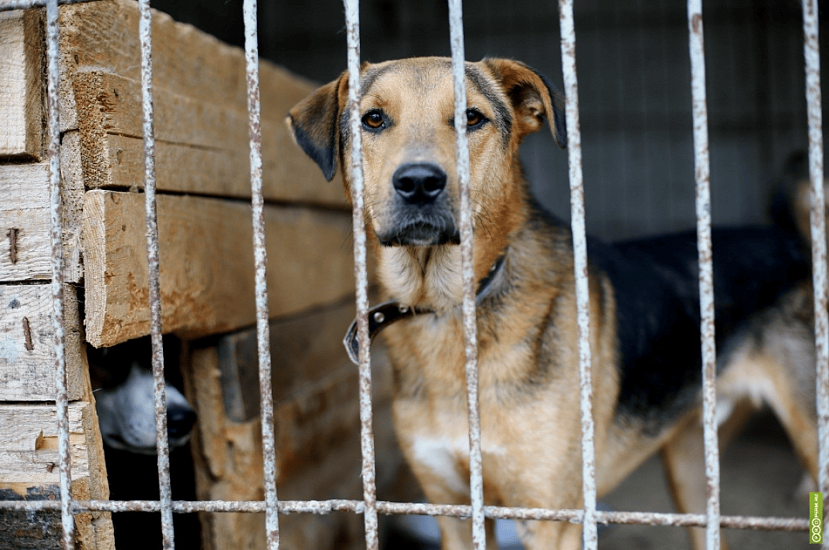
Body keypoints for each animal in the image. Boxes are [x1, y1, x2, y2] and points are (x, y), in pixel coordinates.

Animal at [288, 58, 820, 548]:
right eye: (374, 119)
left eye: (471, 118)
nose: (419, 182)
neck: (450, 305)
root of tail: (796, 244)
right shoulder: (451, 508)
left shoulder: (548, 517)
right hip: (690, 462)